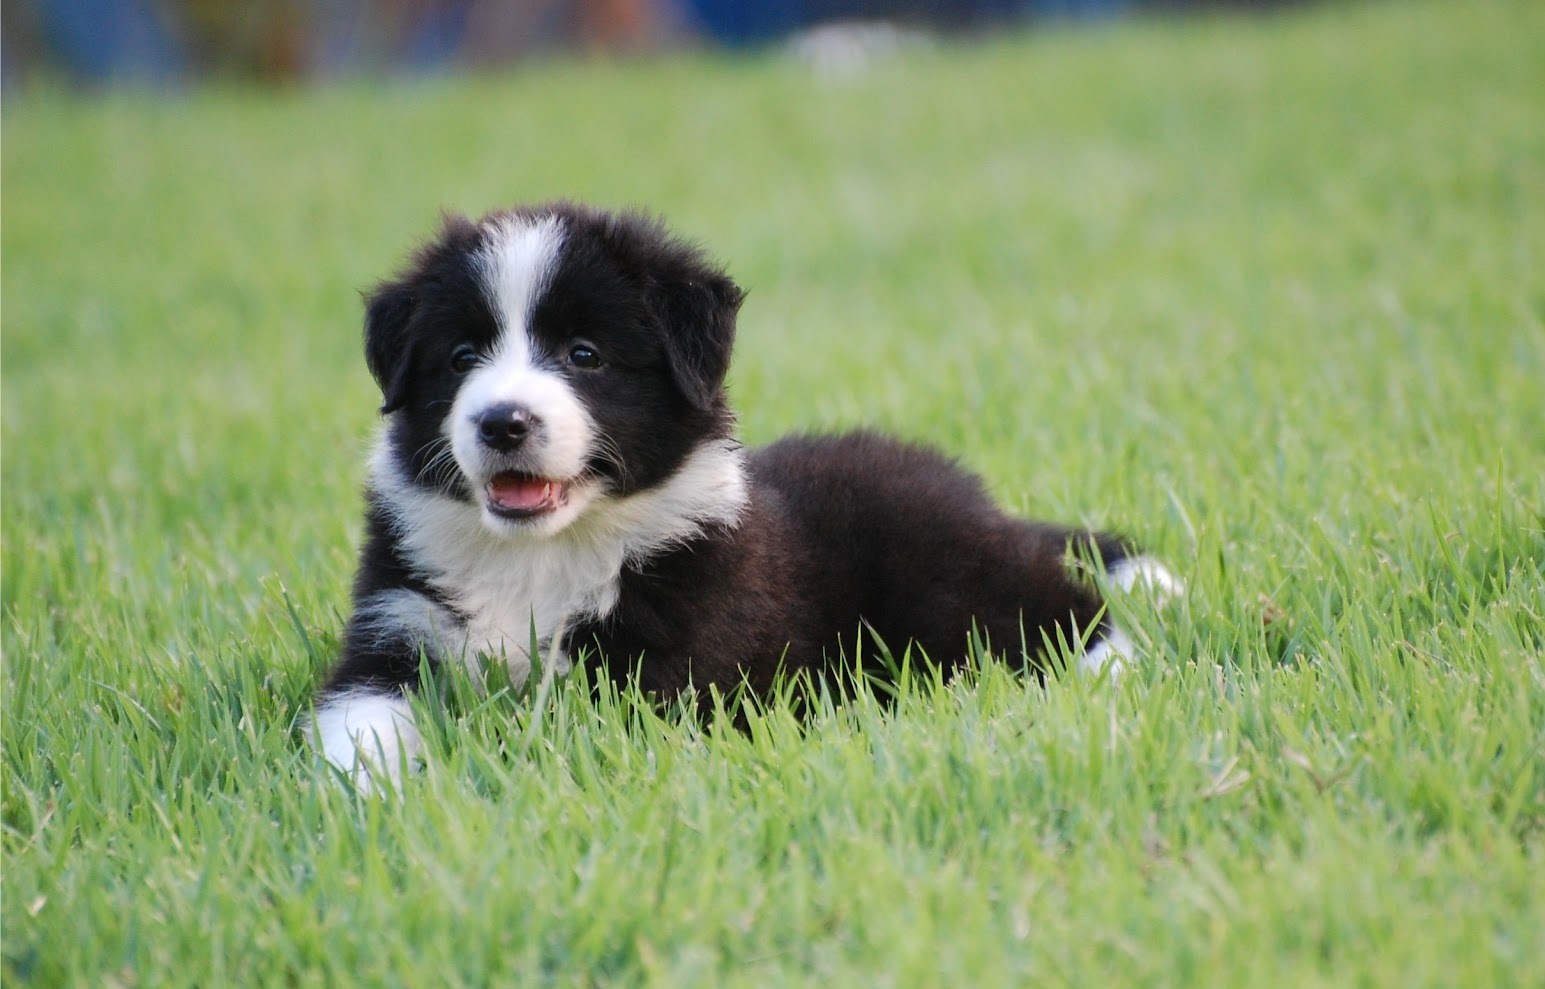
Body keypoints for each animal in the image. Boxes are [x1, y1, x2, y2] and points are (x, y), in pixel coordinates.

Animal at [316, 200, 1180, 788]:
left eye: (584, 354)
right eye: (461, 356)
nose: (501, 421)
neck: (541, 555)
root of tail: (971, 491)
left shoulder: (680, 656)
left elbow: (572, 728)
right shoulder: (394, 625)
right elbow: (355, 718)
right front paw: (371, 790)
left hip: (948, 577)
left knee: (1067, 613)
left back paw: (1113, 679)